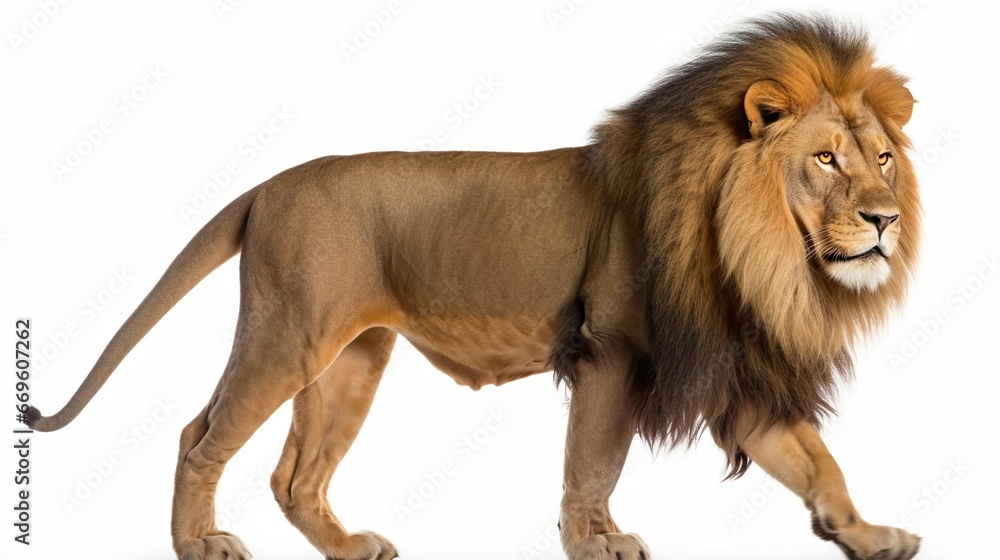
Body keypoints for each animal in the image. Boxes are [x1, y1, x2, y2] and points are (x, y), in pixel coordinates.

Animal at [26, 15, 921, 560]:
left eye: (882, 157)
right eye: (826, 159)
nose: (884, 219)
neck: (760, 255)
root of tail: (270, 184)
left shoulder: (733, 364)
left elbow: (817, 461)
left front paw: (868, 533)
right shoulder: (610, 351)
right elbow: (592, 463)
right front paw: (594, 542)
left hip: (352, 357)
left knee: (293, 476)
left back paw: (348, 547)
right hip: (288, 337)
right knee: (199, 436)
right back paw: (198, 544)